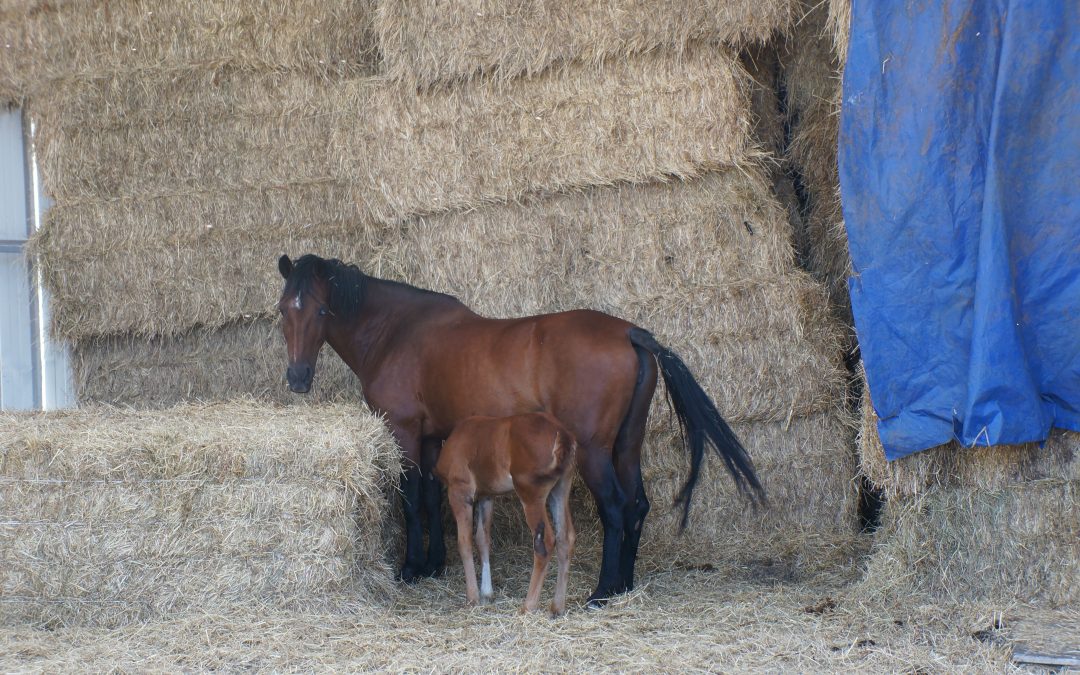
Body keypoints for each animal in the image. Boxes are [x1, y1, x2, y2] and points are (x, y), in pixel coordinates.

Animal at [434, 410, 578, 617]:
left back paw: (528, 606)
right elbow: (482, 539)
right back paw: (557, 607)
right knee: (566, 538)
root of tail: (562, 434)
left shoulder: (460, 491)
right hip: (560, 489)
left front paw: (472, 598)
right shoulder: (486, 496)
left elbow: (464, 542)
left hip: (530, 494)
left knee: (545, 542)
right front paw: (487, 593)